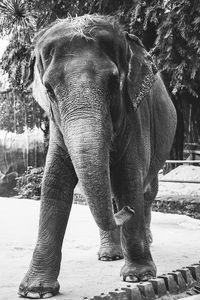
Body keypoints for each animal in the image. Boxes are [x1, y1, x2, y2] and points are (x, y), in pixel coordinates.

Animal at [18, 13, 177, 298]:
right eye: (49, 90)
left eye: (114, 83)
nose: (127, 210)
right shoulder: (57, 124)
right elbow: (54, 182)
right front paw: (35, 290)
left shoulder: (134, 115)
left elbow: (129, 178)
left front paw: (138, 276)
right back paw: (109, 254)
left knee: (147, 190)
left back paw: (142, 238)